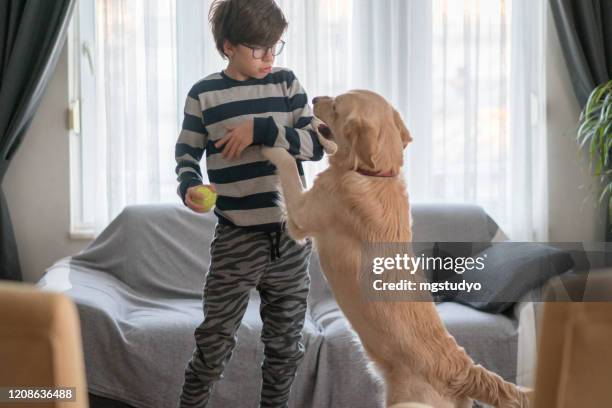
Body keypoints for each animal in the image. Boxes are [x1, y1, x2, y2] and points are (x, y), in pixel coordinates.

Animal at [260, 90, 532, 408]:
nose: (315, 98)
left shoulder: (302, 216)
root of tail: (461, 368)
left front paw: (267, 143)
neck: (375, 174)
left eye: (336, 106)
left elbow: (288, 166)